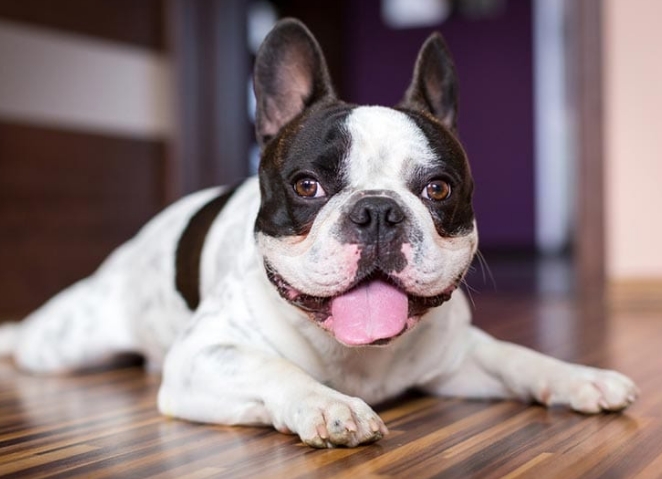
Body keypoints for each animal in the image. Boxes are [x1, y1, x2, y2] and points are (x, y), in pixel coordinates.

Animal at [2, 17, 640, 446]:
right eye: (307, 186)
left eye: (438, 189)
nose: (378, 210)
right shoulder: (204, 356)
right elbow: (272, 367)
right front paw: (331, 405)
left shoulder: (462, 356)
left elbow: (518, 357)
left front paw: (580, 378)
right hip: (68, 343)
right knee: (35, 338)